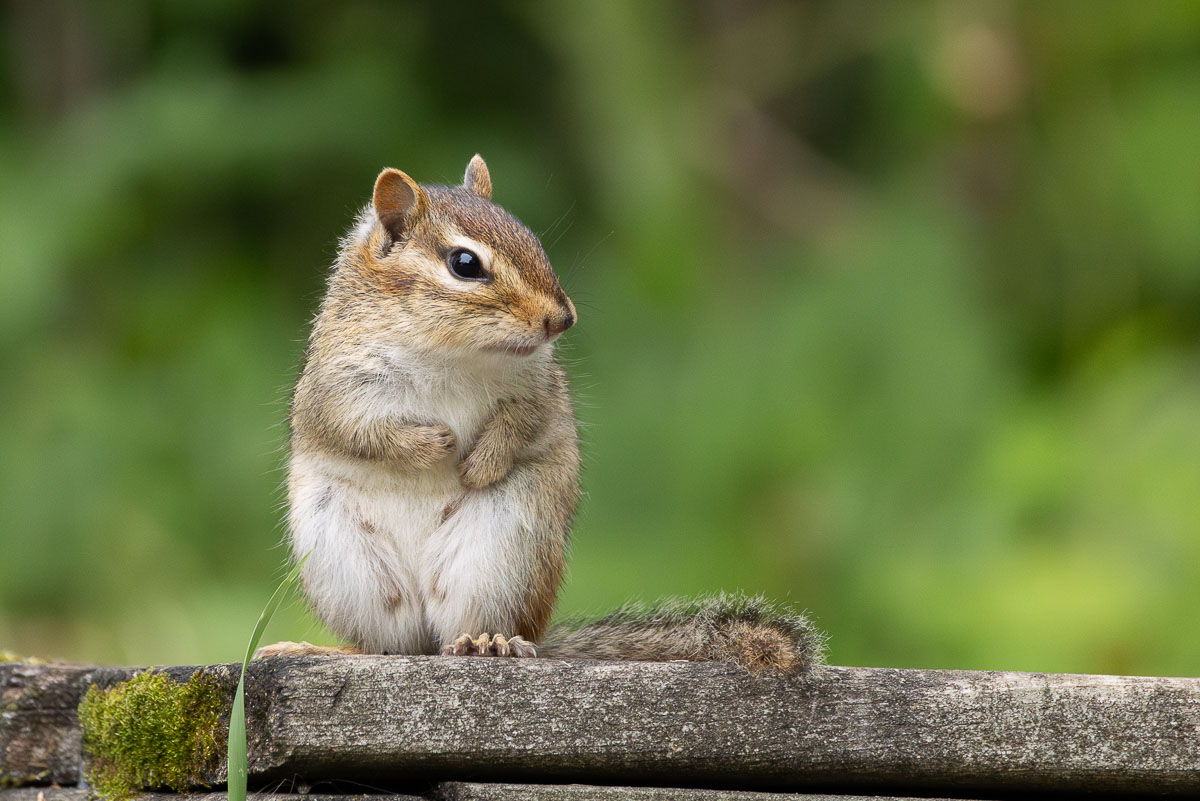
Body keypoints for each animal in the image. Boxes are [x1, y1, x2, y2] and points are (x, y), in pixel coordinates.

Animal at [256, 156, 823, 672]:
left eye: (533, 241)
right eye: (465, 264)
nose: (562, 319)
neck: (453, 354)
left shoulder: (539, 391)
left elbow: (521, 425)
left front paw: (481, 463)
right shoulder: (336, 386)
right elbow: (355, 430)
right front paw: (435, 444)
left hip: (502, 558)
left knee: (472, 626)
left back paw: (488, 643)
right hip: (347, 566)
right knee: (386, 645)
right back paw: (323, 649)